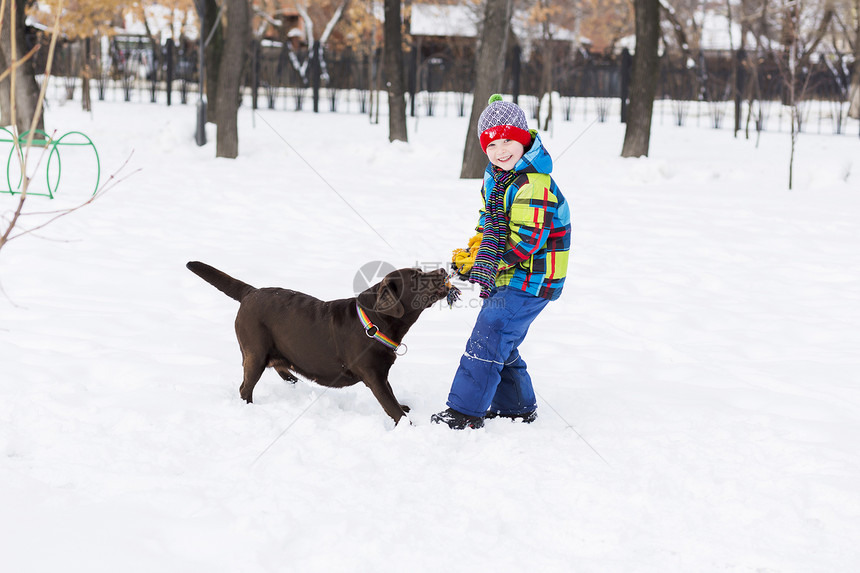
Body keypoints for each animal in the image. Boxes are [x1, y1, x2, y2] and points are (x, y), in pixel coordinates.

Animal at [186, 262, 454, 422]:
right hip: (255, 352)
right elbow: (390, 406)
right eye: (416, 277)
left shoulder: (382, 373)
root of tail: (250, 292)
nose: (442, 270)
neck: (375, 322)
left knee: (282, 369)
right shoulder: (373, 375)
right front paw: (408, 425)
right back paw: (250, 408)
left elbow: (392, 395)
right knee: (245, 387)